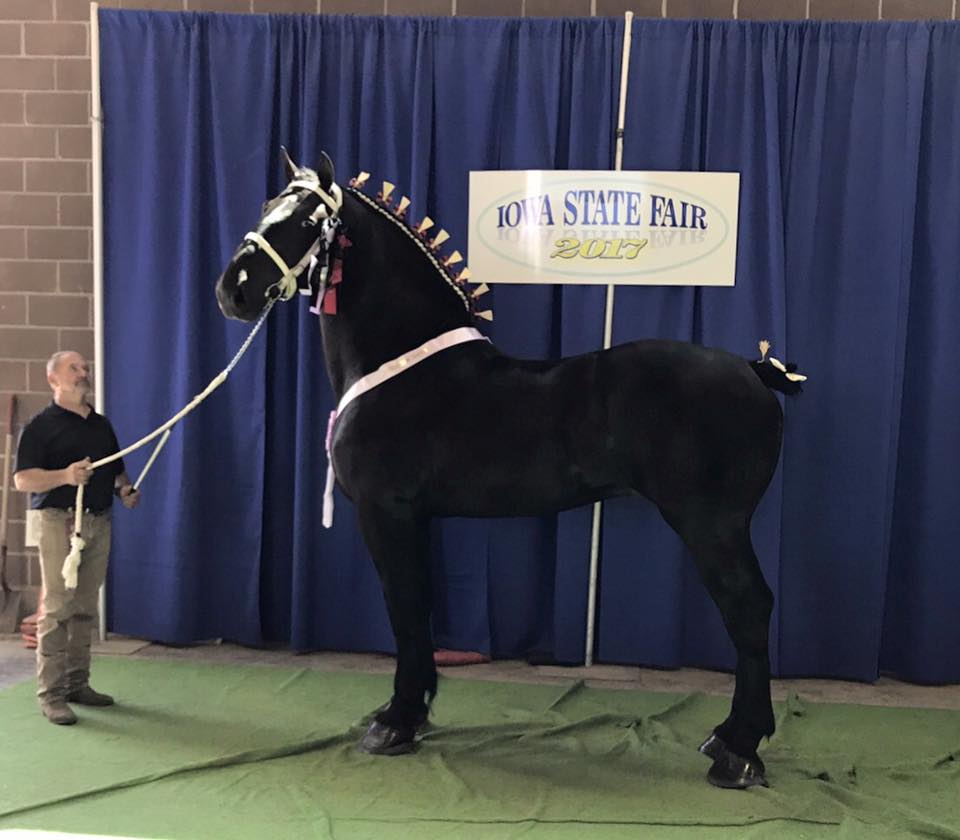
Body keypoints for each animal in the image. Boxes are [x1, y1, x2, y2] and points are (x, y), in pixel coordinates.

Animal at [215, 150, 805, 789]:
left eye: (305, 221)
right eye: (266, 207)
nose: (232, 291)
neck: (401, 364)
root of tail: (753, 370)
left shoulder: (385, 514)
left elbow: (403, 609)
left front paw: (393, 723)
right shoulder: (417, 518)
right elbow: (420, 607)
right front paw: (412, 714)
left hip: (712, 526)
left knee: (749, 611)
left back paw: (737, 752)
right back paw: (729, 740)